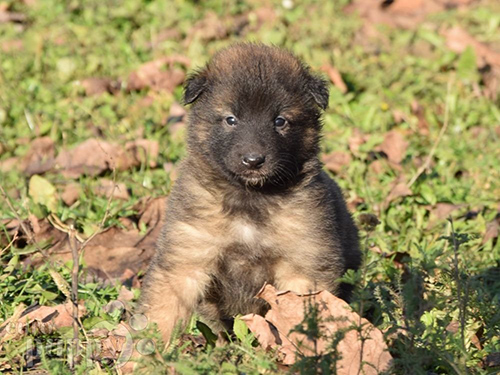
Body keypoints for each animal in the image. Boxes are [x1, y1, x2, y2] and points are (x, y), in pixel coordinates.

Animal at [139, 42, 362, 346]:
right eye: (231, 119)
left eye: (280, 121)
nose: (254, 160)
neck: (250, 197)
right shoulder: (187, 258)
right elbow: (162, 310)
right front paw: (144, 352)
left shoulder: (304, 265)